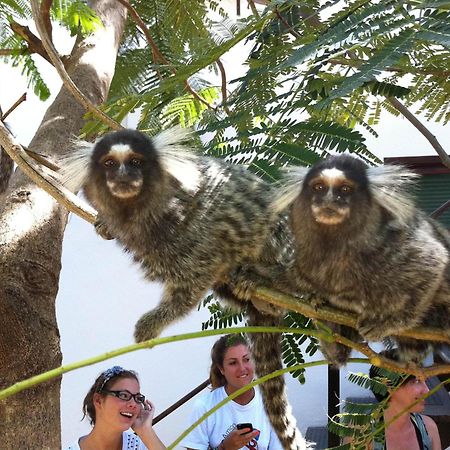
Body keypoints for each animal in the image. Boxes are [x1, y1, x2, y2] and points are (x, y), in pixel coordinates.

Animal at [60, 126, 312, 450]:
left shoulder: (196, 229)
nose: (124, 176)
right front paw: (104, 223)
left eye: (136, 162)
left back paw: (264, 281)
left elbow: (196, 277)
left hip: (284, 251)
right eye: (109, 164)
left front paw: (153, 322)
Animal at [276, 155, 450, 366]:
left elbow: (434, 262)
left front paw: (391, 323)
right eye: (319, 187)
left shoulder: (394, 248)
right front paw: (318, 303)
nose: (329, 200)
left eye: (345, 189)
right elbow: (338, 352)